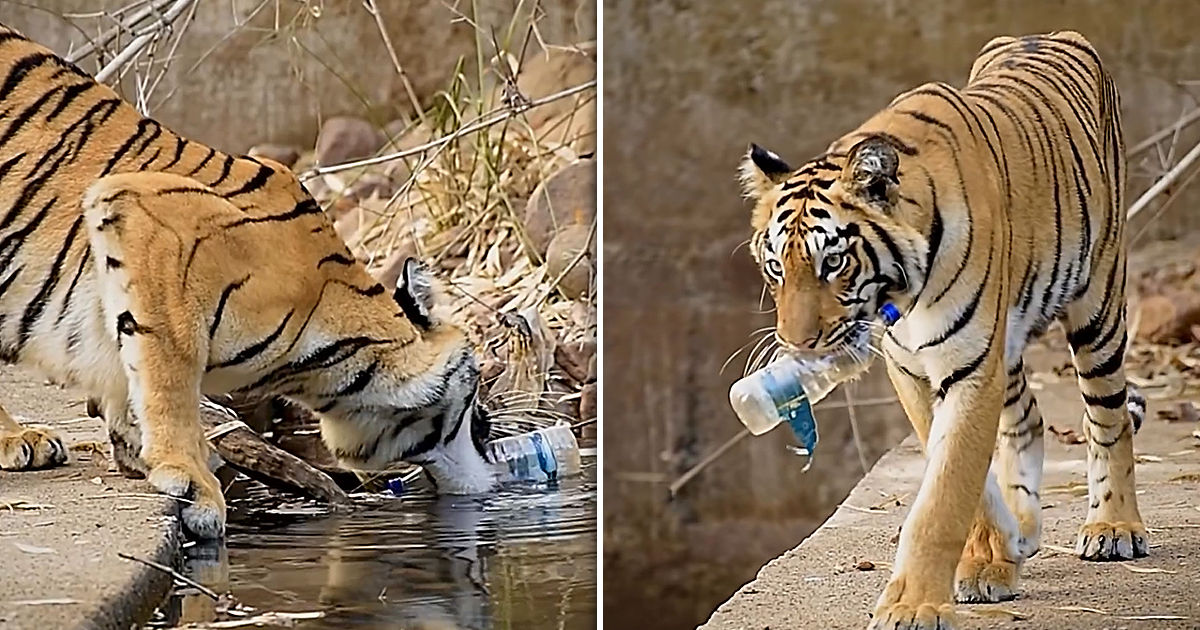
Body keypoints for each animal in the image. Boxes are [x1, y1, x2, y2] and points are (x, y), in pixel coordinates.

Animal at [0, 23, 495, 539]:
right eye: (476, 413)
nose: (495, 467)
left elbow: (127, 365)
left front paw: (136, 448)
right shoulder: (145, 219)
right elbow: (169, 373)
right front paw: (192, 481)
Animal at [739, 31, 1145, 629]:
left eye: (832, 262)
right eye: (775, 267)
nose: (797, 344)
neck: (902, 296)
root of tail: (1048, 34)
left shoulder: (971, 366)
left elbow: (944, 494)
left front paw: (911, 607)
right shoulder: (913, 371)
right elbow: (962, 475)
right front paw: (994, 556)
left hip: (1098, 306)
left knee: (1108, 419)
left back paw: (1114, 528)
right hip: (1013, 337)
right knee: (1028, 417)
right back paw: (1023, 533)